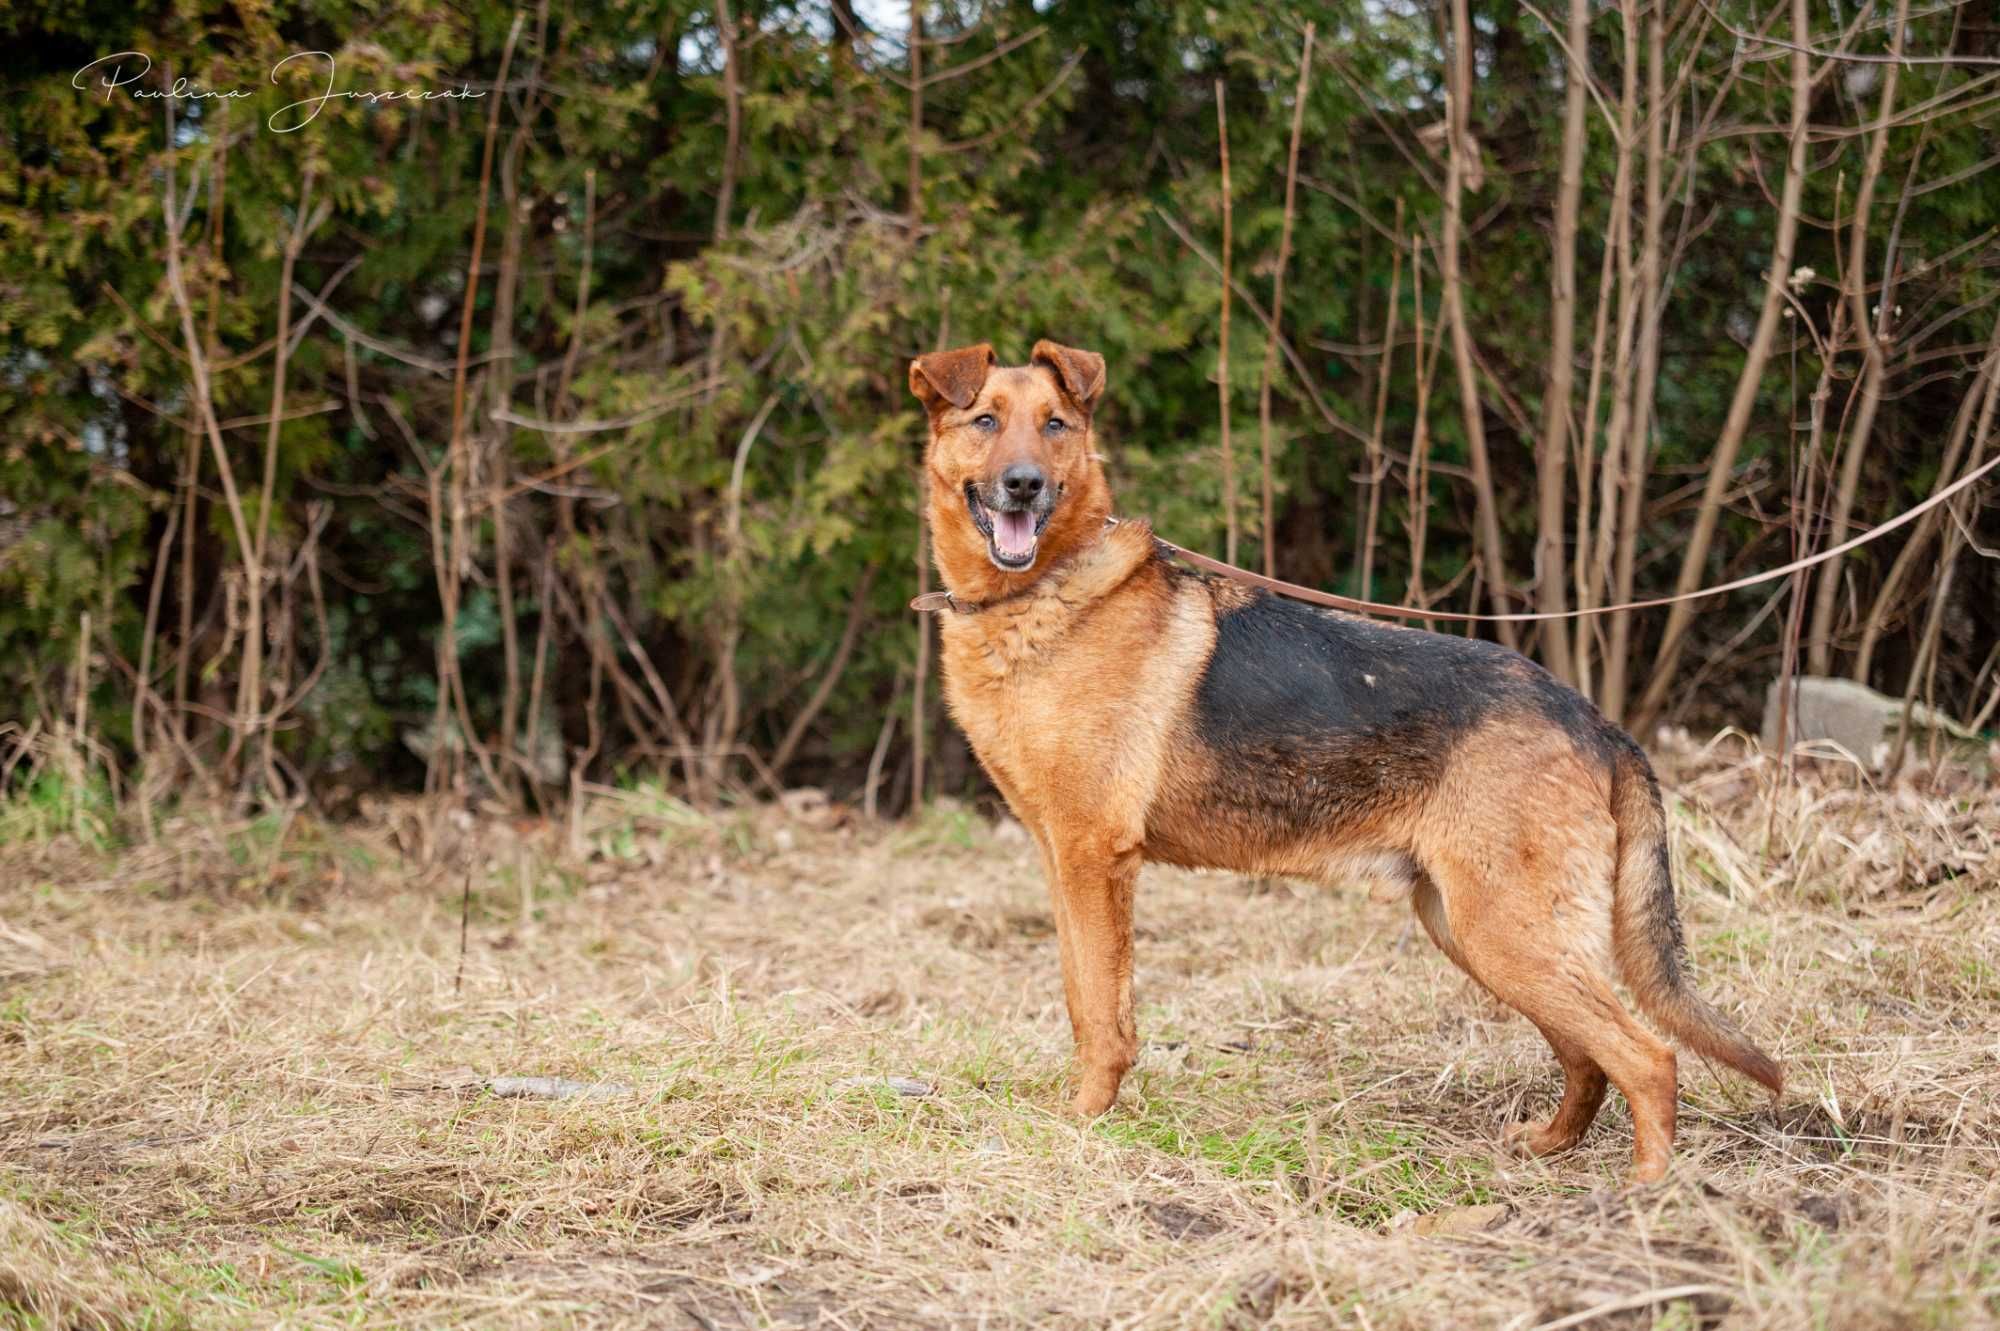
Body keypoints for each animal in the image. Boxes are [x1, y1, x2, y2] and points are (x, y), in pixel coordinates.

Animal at [908, 337, 1784, 1175]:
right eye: (986, 420)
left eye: (1056, 424)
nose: (1023, 485)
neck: (1044, 590)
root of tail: (1595, 720)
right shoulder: (1064, 860)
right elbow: (1081, 997)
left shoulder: (1095, 858)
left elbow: (1099, 1009)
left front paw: (1086, 1121)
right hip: (1473, 930)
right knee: (1590, 1056)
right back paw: (1548, 1147)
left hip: (1507, 933)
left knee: (1649, 1056)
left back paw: (1646, 1192)